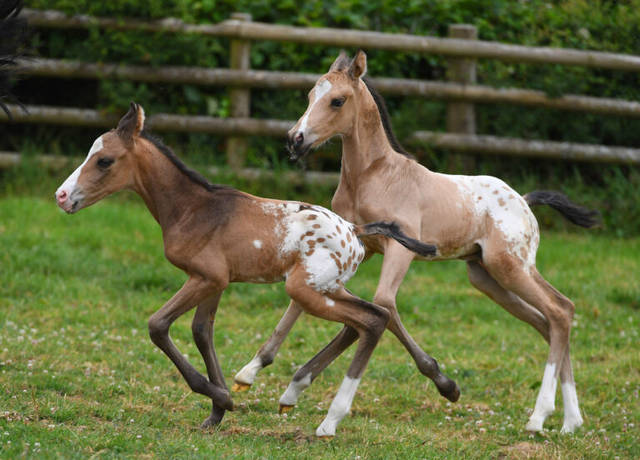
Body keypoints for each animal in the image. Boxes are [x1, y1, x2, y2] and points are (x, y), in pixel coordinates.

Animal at [53, 102, 444, 436]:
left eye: (104, 161)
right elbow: (201, 332)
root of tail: (355, 230)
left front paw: (223, 399)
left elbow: (158, 325)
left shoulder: (206, 278)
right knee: (366, 320)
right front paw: (217, 410)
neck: (193, 209)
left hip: (304, 289)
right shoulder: (215, 282)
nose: (61, 196)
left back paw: (329, 421)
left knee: (372, 320)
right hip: (327, 287)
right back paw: (294, 395)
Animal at [236, 52, 600, 434]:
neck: (374, 176)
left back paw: (540, 416)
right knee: (549, 320)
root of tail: (525, 201)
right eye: (309, 96)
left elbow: (383, 304)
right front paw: (253, 372)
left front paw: (446, 384)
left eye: (337, 100)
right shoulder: (359, 246)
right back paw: (571, 420)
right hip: (486, 276)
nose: (295, 139)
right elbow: (311, 302)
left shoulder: (400, 248)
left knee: (560, 311)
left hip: (510, 266)